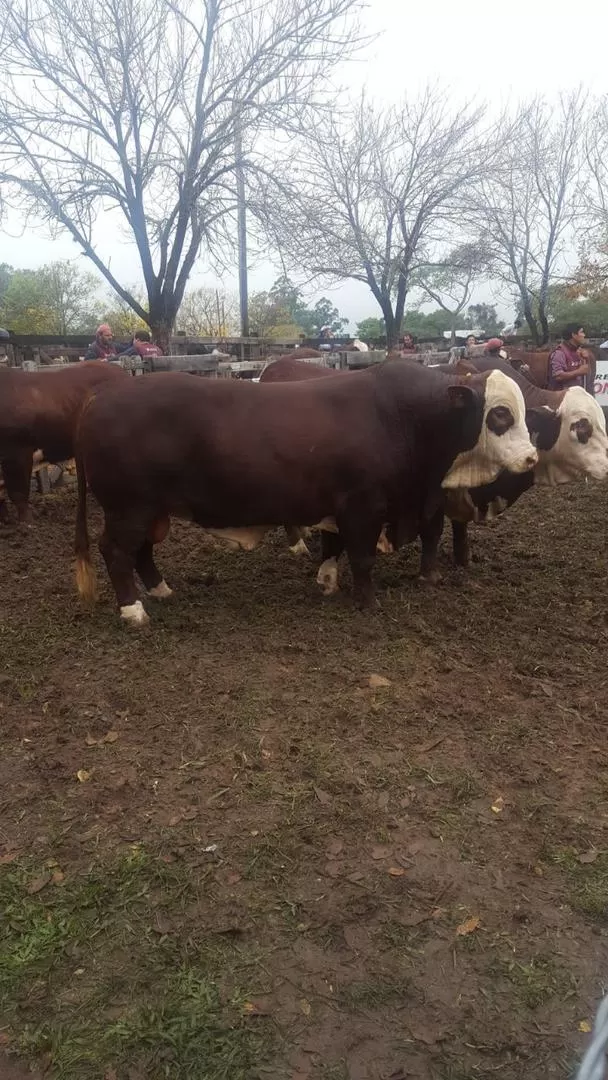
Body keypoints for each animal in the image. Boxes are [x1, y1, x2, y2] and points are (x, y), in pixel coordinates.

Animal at [72, 360, 537, 626]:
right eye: (499, 414)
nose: (532, 457)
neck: (406, 416)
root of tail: (100, 398)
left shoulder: (338, 505)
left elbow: (333, 546)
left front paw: (327, 581)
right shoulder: (363, 505)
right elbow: (362, 556)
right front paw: (367, 602)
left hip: (152, 510)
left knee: (142, 551)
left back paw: (160, 590)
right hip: (129, 508)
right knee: (116, 550)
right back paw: (133, 611)